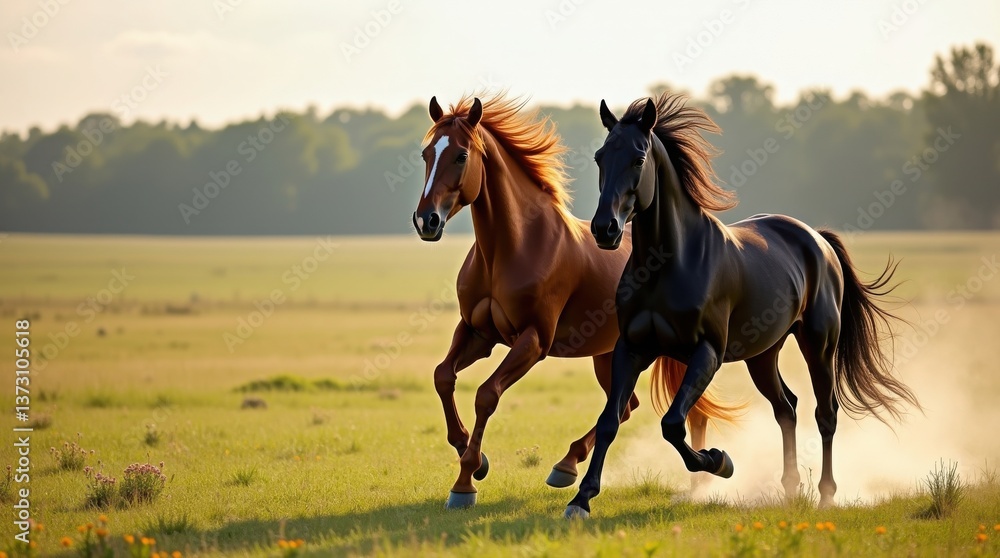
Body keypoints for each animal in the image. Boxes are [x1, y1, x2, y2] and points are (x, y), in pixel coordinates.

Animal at [412, 93, 740, 508]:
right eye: (426, 154)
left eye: (460, 155)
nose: (426, 221)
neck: (512, 248)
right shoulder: (477, 333)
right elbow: (443, 376)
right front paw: (474, 457)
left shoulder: (533, 341)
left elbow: (486, 394)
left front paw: (465, 481)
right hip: (609, 354)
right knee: (626, 407)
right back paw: (567, 465)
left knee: (683, 412)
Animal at [564, 93, 920, 518]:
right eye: (601, 157)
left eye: (638, 158)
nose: (605, 230)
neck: (668, 264)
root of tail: (818, 239)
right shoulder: (632, 349)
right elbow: (610, 420)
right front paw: (580, 498)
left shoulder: (707, 353)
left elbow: (672, 424)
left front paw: (720, 461)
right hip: (762, 355)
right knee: (787, 407)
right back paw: (789, 488)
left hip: (819, 345)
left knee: (825, 413)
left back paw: (825, 495)